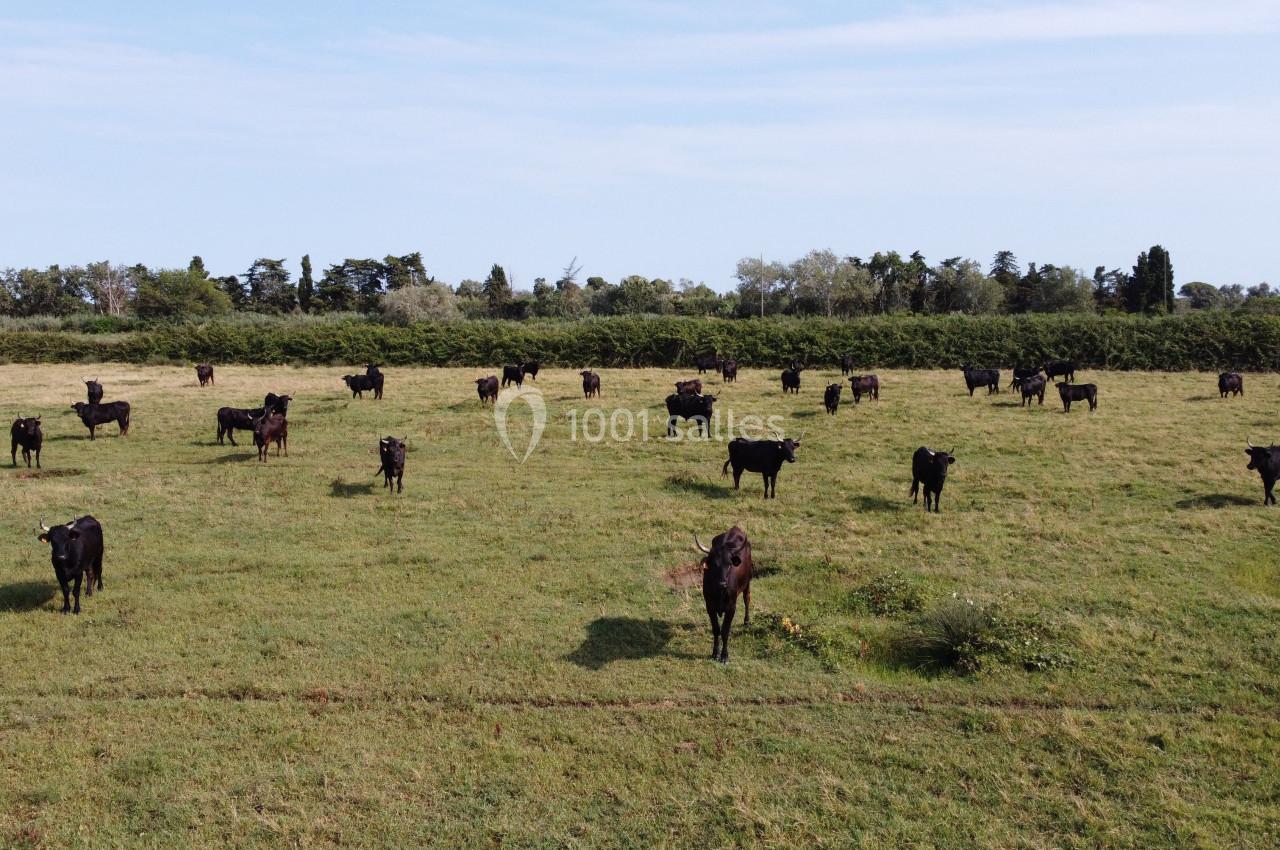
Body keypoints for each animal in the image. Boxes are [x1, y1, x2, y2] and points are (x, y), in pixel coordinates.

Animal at [694, 526, 753, 664]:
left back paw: (746, 621)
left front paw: (724, 656)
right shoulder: (710, 607)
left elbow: (725, 631)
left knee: (747, 598)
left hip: (747, 581)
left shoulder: (731, 608)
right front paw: (715, 653)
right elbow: (716, 629)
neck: (719, 592)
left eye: (729, 564)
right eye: (714, 564)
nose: (722, 583)